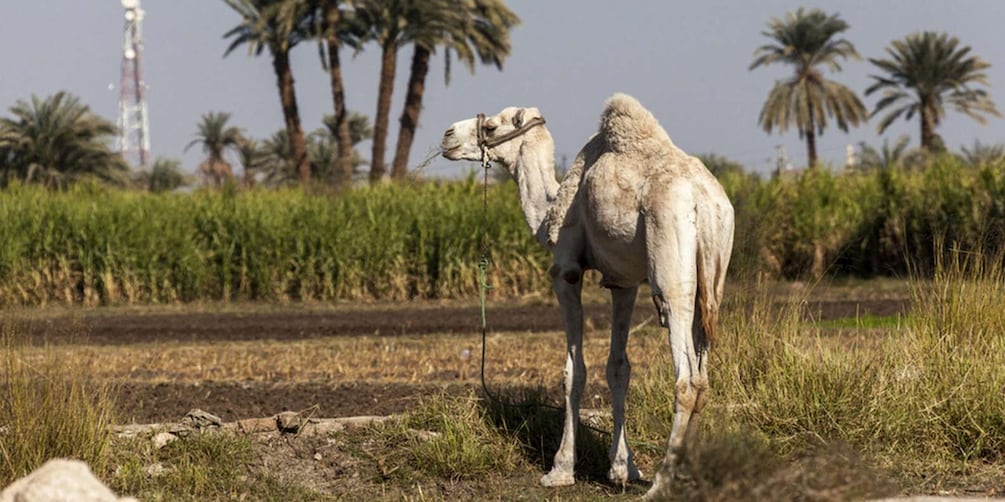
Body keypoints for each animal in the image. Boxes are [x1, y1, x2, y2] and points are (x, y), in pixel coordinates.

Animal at [440, 93, 731, 497]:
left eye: (491, 126)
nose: (448, 135)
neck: (551, 206)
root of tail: (703, 201)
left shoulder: (566, 270)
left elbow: (573, 372)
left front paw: (560, 469)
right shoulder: (623, 281)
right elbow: (618, 367)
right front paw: (623, 468)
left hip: (671, 267)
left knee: (686, 378)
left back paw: (661, 483)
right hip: (714, 275)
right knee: (703, 376)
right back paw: (686, 473)